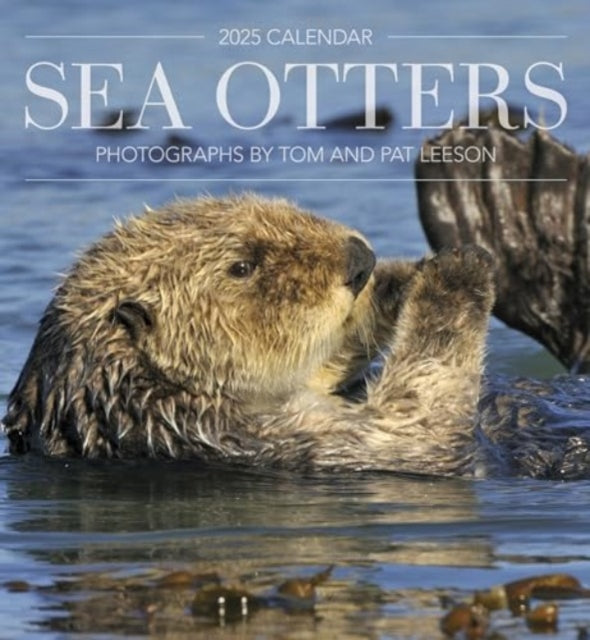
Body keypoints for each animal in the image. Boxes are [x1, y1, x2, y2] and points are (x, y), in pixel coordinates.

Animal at [3, 194, 588, 477]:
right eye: (242, 266)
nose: (359, 258)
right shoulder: (282, 444)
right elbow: (421, 425)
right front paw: (455, 272)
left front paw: (400, 278)